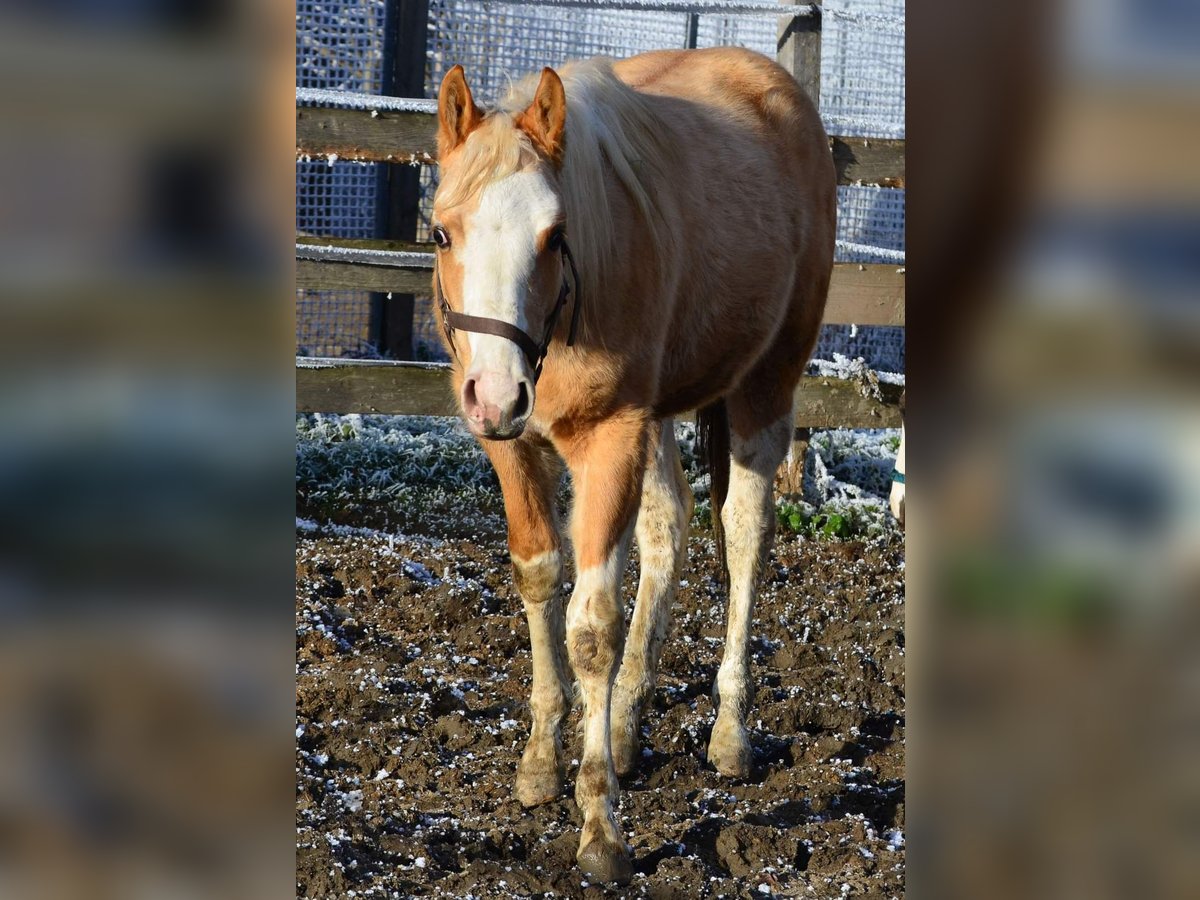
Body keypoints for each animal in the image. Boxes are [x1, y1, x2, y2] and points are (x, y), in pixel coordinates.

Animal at [429, 45, 835, 883]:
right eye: (443, 234)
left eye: (555, 235)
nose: (497, 391)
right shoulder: (511, 444)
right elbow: (540, 575)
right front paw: (542, 763)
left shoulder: (612, 437)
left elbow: (592, 628)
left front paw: (600, 831)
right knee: (667, 527)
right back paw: (623, 723)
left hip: (764, 388)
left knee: (744, 537)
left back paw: (729, 734)